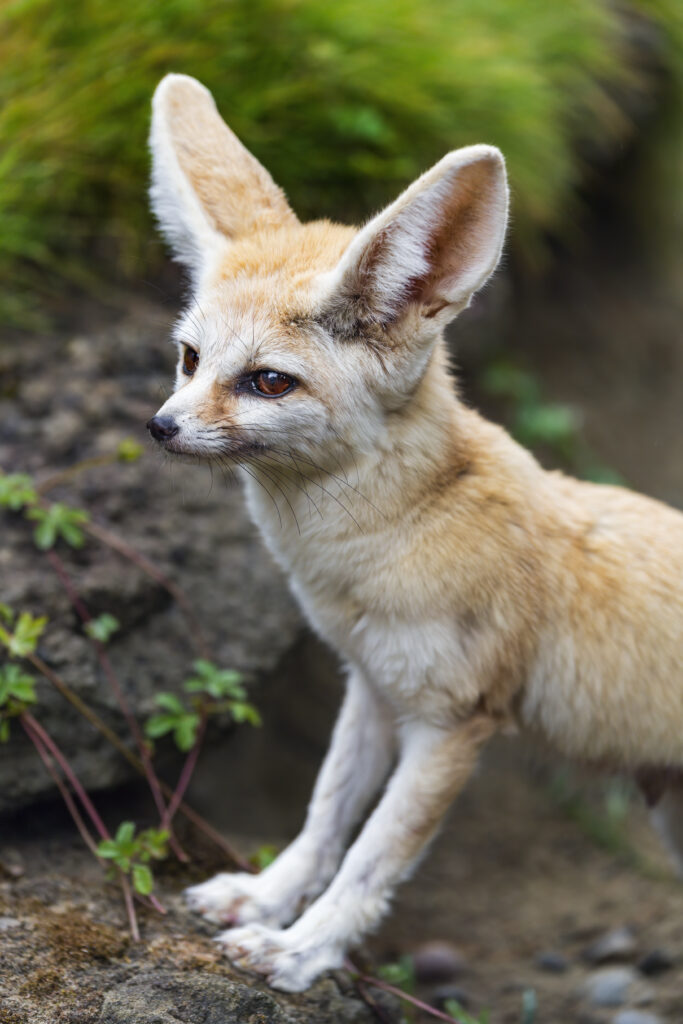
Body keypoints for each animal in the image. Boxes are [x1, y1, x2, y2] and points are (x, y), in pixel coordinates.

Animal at [146, 74, 683, 992]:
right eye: (189, 360)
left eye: (267, 382)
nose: (160, 427)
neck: (390, 543)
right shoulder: (370, 686)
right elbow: (325, 816)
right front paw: (265, 900)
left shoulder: (452, 723)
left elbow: (374, 855)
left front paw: (302, 949)